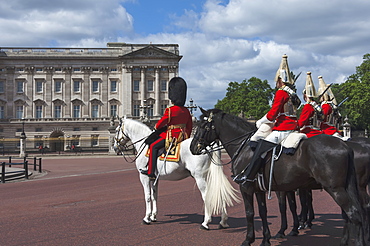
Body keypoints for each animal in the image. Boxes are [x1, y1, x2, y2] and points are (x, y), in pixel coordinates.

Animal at [192, 109, 366, 246]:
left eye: (203, 126)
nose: (193, 148)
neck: (244, 146)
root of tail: (345, 146)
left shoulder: (246, 187)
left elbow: (250, 212)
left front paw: (248, 240)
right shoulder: (259, 188)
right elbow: (263, 211)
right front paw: (266, 239)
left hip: (336, 189)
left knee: (354, 214)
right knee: (352, 214)